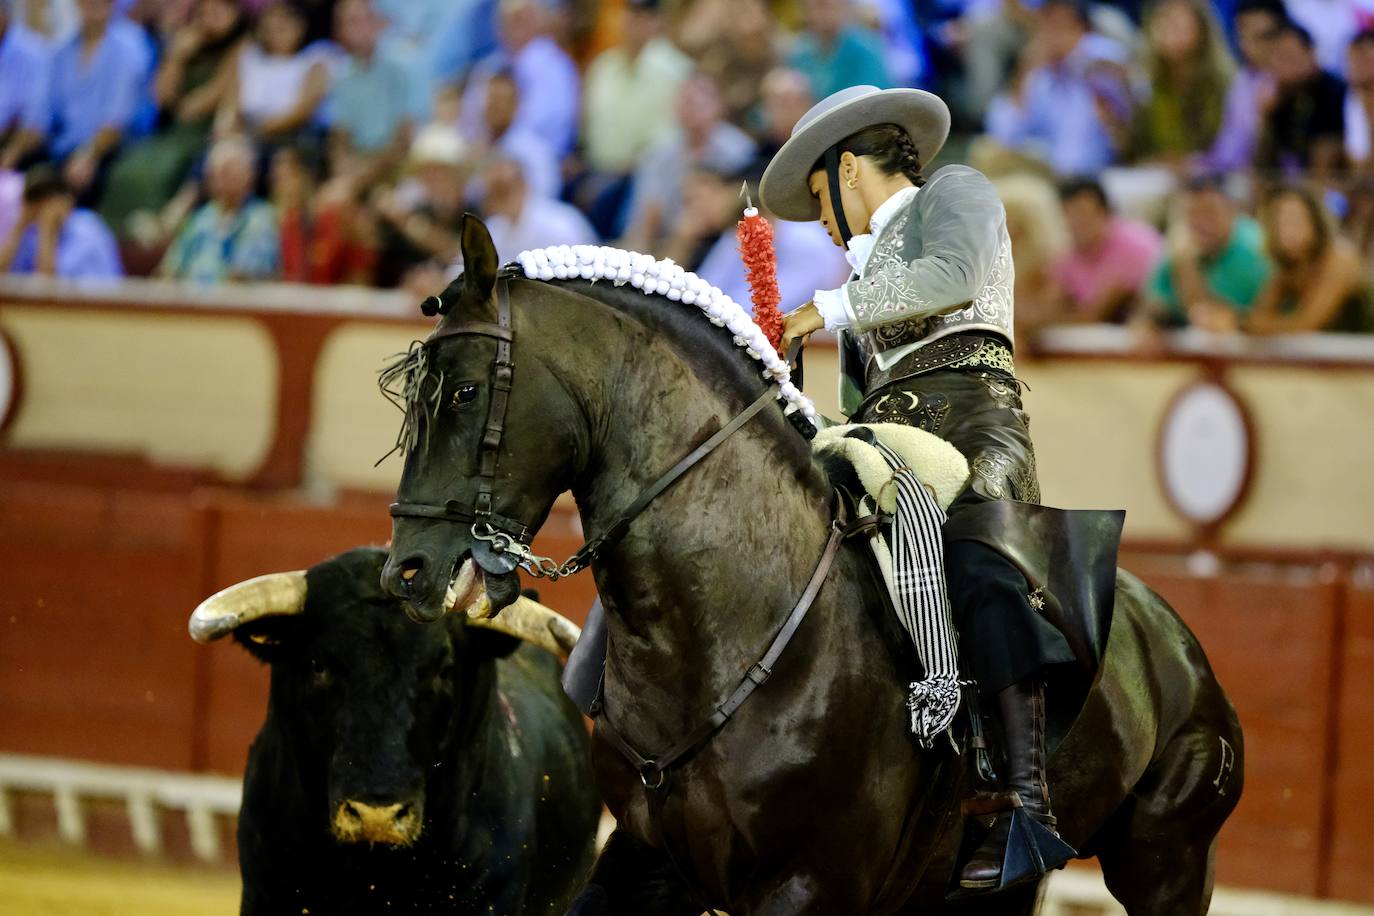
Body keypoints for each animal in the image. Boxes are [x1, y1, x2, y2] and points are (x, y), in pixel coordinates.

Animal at [379, 216, 1247, 916]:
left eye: (464, 392)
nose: (407, 573)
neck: (714, 629)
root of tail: (1171, 635)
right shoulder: (643, 861)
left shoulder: (808, 887)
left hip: (1168, 861)